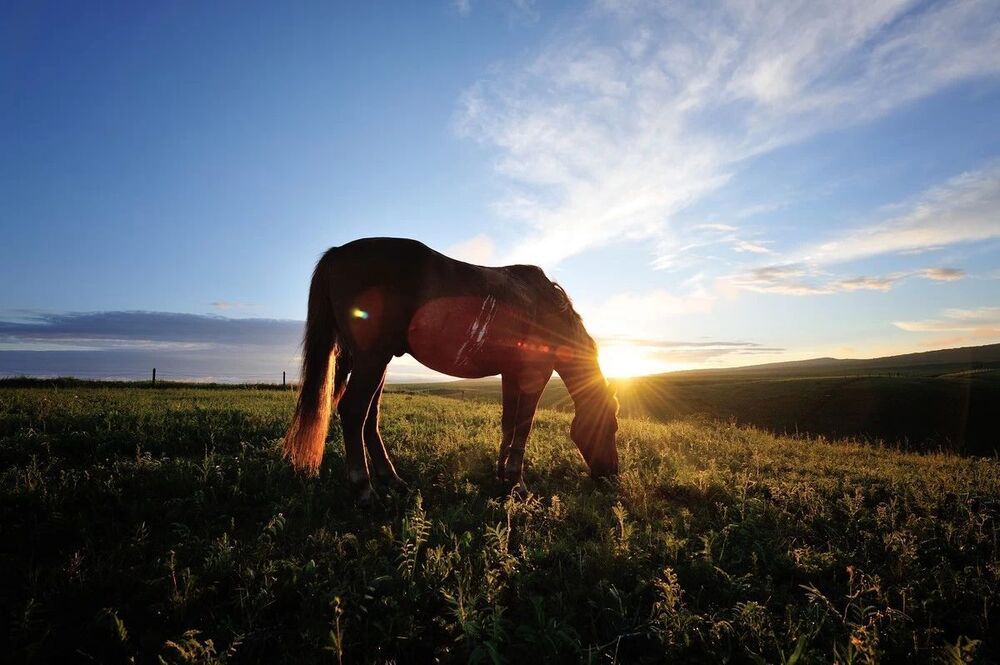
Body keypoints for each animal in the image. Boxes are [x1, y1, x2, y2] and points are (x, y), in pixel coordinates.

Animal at [282, 237, 619, 505]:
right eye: (612, 427)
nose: (612, 476)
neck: (547, 308)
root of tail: (338, 253)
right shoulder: (535, 374)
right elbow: (523, 426)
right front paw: (518, 485)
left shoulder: (511, 374)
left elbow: (508, 424)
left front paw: (502, 476)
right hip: (371, 360)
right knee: (354, 412)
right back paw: (365, 489)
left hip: (376, 362)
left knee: (369, 418)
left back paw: (392, 480)